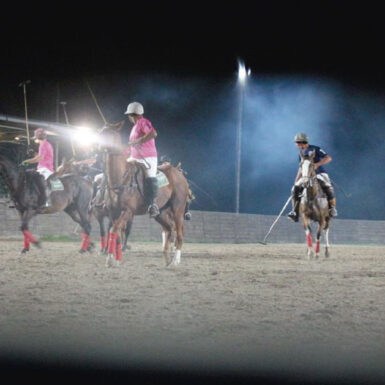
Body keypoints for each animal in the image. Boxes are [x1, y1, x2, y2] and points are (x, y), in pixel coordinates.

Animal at [98, 124, 190, 268]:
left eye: (108, 133)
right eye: (100, 131)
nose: (96, 146)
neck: (120, 179)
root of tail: (180, 175)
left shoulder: (128, 212)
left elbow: (114, 230)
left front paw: (110, 259)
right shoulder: (113, 212)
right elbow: (115, 232)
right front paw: (115, 259)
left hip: (178, 210)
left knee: (179, 234)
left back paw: (175, 261)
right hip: (161, 213)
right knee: (169, 229)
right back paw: (167, 259)